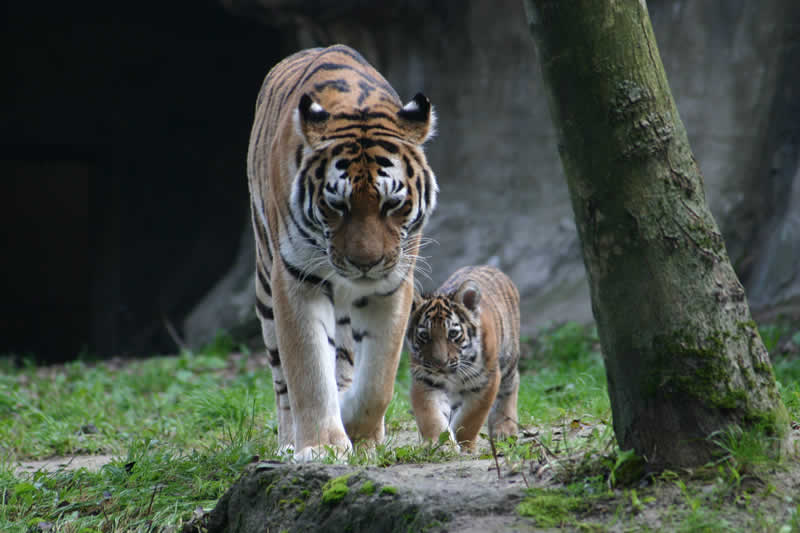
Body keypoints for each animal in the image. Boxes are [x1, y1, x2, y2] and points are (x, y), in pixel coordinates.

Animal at [248, 45, 440, 460]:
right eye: (337, 205)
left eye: (392, 203)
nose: (364, 263)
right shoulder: (297, 280)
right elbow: (308, 371)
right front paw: (322, 446)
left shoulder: (392, 284)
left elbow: (377, 380)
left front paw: (361, 432)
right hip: (266, 287)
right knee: (281, 380)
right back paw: (289, 443)